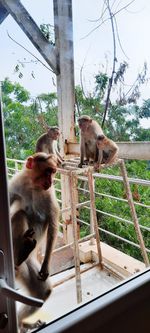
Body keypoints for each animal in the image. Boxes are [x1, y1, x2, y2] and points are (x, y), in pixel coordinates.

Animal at [8, 152, 59, 328]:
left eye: (53, 172)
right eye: (48, 171)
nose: (51, 180)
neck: (32, 185)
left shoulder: (49, 193)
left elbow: (52, 224)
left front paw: (46, 265)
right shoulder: (15, 183)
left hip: (28, 265)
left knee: (42, 293)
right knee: (19, 214)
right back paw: (22, 250)